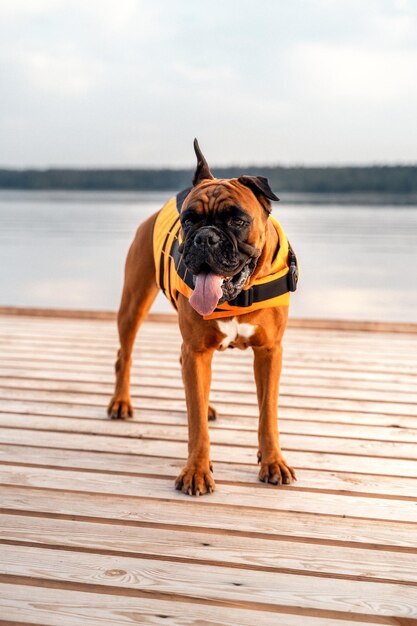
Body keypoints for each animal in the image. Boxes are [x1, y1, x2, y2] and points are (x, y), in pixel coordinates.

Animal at [107, 139, 296, 494]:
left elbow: (268, 414)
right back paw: (120, 403)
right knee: (125, 355)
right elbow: (196, 424)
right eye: (189, 220)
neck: (239, 295)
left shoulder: (269, 351)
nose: (205, 237)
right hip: (133, 304)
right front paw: (196, 470)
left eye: (237, 220)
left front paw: (272, 461)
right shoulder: (196, 349)